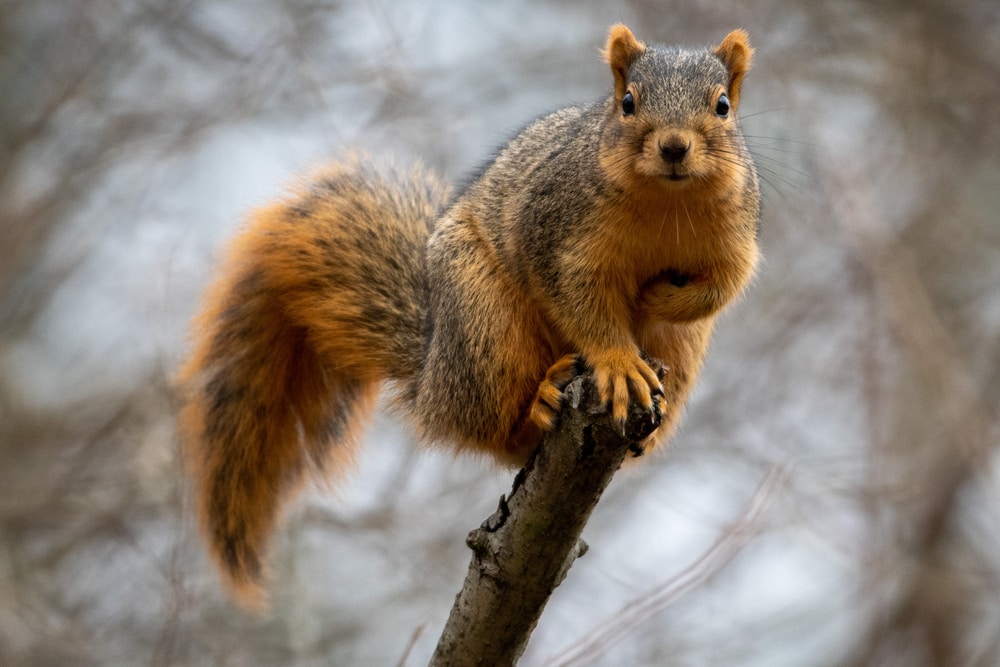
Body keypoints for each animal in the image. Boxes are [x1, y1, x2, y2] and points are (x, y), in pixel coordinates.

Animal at [177, 24, 760, 608]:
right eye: (628, 103)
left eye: (723, 105)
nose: (674, 146)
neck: (667, 203)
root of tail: (432, 375)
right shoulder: (553, 234)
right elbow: (580, 302)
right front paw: (618, 361)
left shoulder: (737, 237)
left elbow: (719, 291)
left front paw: (659, 297)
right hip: (483, 325)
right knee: (496, 427)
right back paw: (541, 400)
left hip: (680, 353)